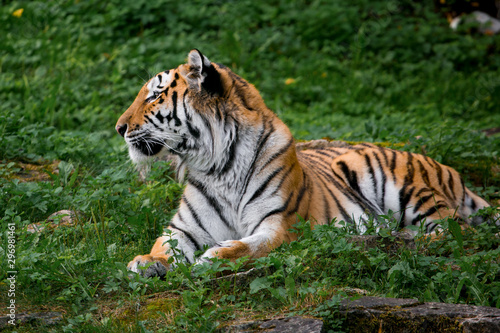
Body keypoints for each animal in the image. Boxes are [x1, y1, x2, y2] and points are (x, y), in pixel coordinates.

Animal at [115, 49, 494, 278]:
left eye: (154, 96)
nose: (119, 128)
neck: (217, 165)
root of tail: (451, 170)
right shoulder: (185, 229)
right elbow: (164, 245)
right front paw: (146, 262)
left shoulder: (279, 225)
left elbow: (250, 246)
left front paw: (214, 257)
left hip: (400, 187)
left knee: (455, 231)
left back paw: (399, 236)